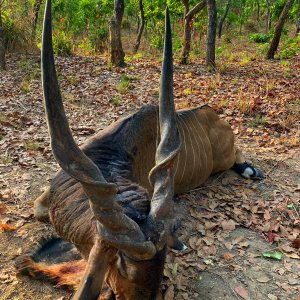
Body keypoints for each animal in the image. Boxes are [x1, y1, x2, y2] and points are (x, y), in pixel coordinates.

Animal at [15, 1, 262, 298]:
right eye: (119, 261)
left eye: (164, 256)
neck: (110, 154)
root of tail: (212, 114)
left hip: (223, 159)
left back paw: (250, 170)